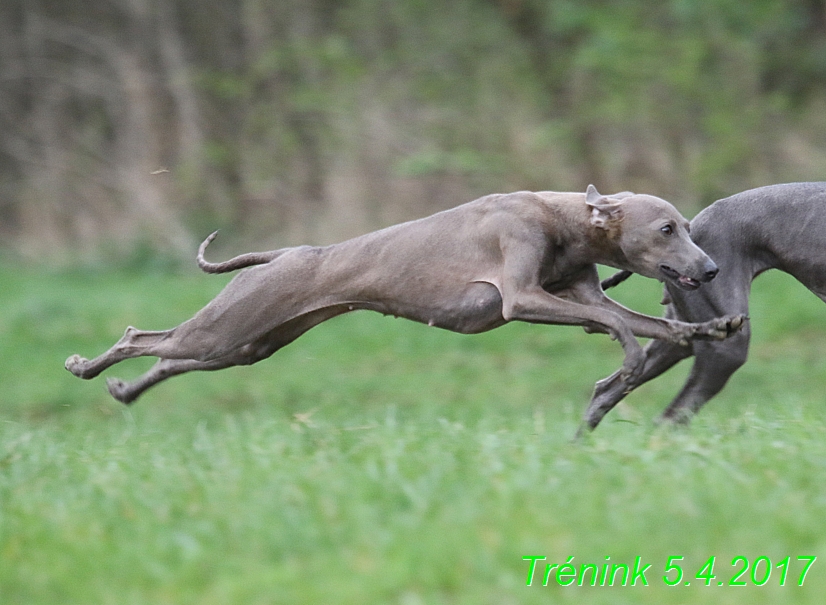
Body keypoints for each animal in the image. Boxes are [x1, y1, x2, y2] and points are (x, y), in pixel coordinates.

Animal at [64, 184, 740, 402]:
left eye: (684, 225)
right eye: (666, 229)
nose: (709, 270)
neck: (562, 217)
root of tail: (281, 255)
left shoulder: (582, 297)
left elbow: (647, 323)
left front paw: (708, 327)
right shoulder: (519, 298)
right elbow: (623, 329)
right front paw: (623, 369)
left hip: (245, 344)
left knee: (170, 357)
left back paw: (124, 392)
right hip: (229, 327)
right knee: (143, 336)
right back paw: (86, 365)